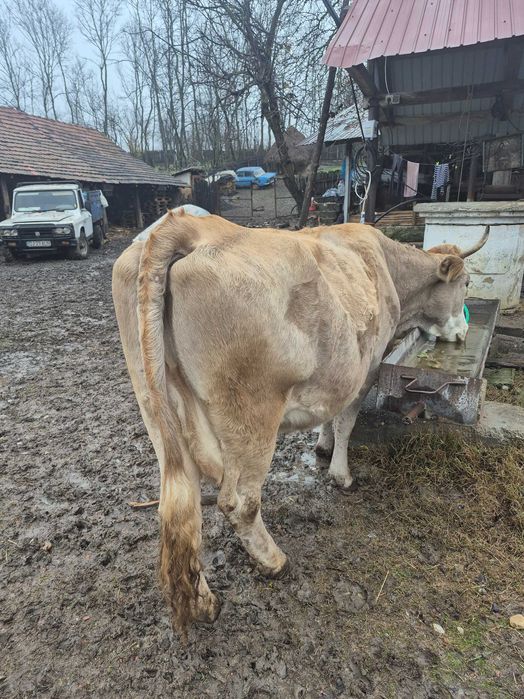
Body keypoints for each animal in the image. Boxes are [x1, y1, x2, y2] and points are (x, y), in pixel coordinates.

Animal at [112, 210, 487, 636]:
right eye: (467, 283)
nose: (463, 332)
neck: (387, 266)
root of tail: (187, 225)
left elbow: (330, 416)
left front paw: (322, 447)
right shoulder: (368, 366)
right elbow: (346, 421)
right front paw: (341, 474)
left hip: (156, 410)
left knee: (180, 505)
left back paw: (205, 603)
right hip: (252, 413)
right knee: (238, 502)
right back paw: (274, 561)